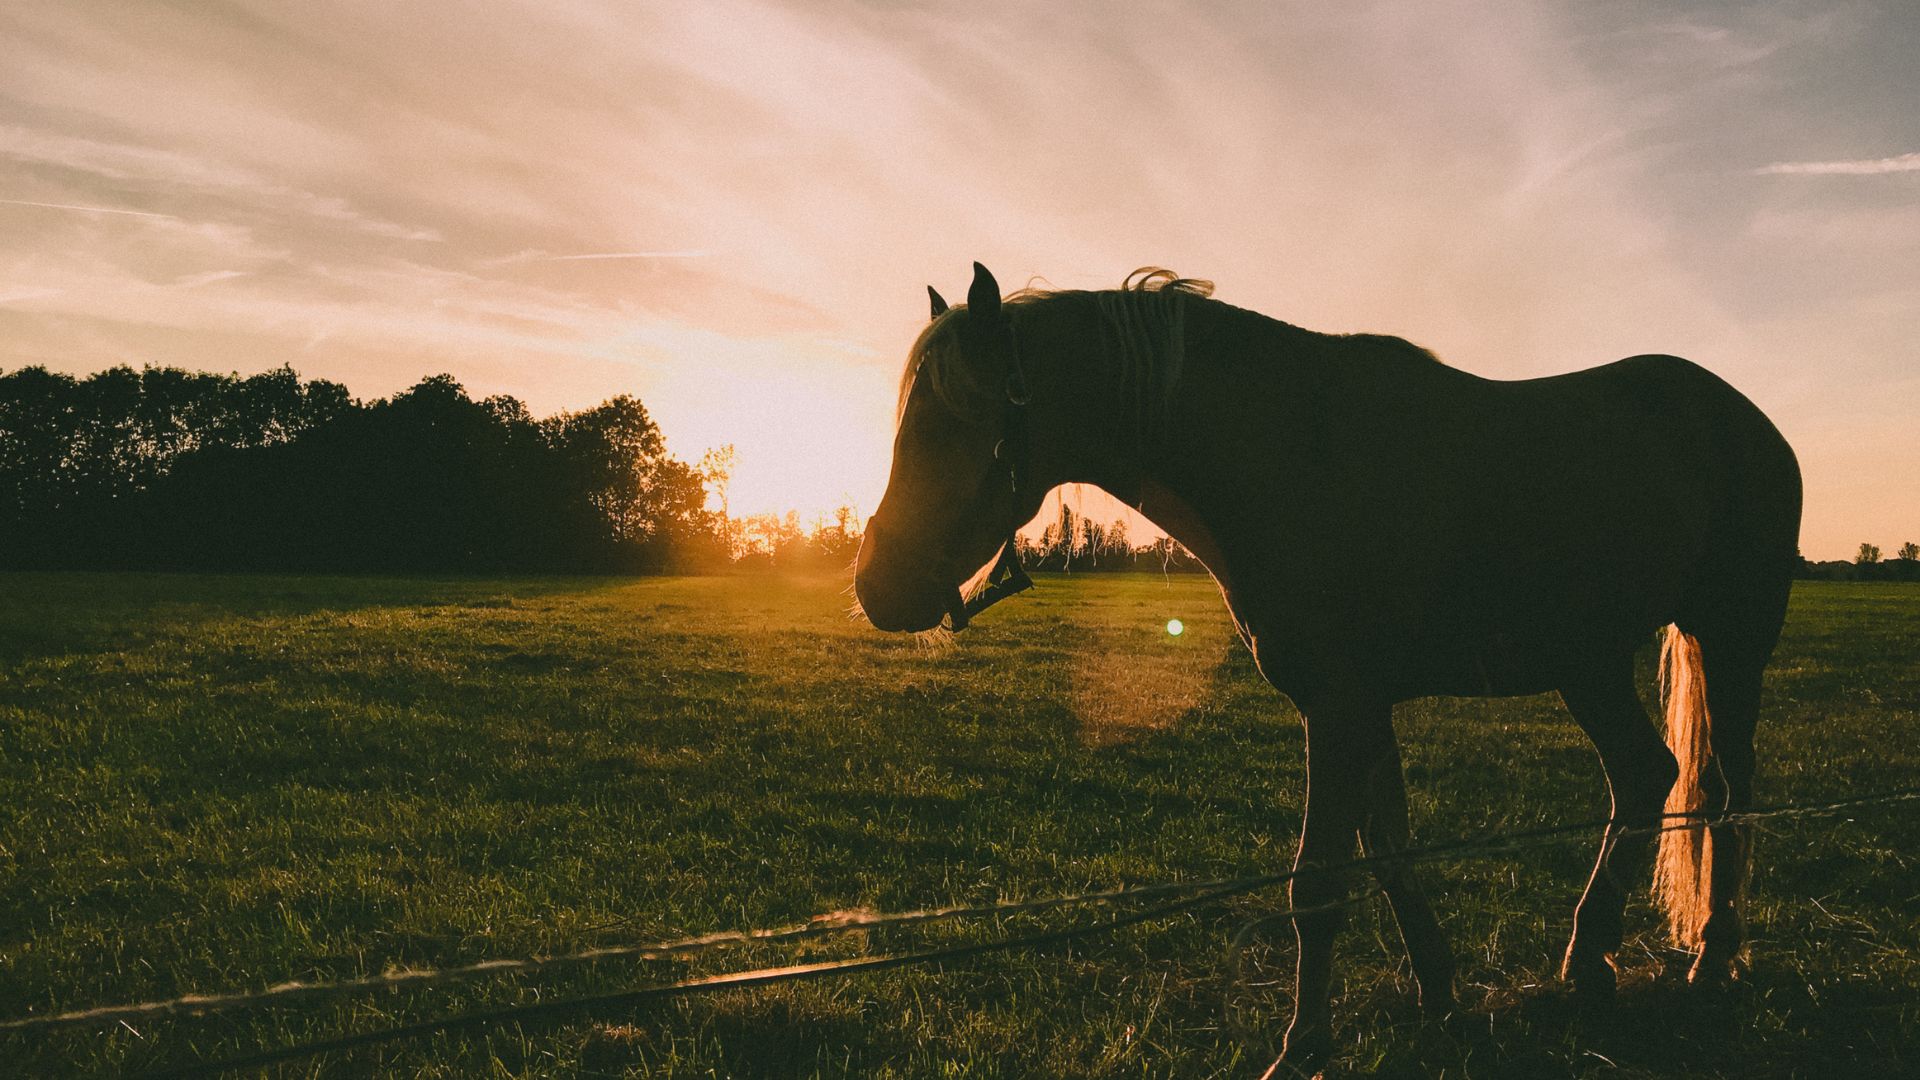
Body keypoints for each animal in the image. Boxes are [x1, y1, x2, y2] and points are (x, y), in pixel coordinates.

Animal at [852, 263, 1797, 1068]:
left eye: (948, 420)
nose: (875, 586)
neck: (1290, 455)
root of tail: (1744, 418)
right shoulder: (1361, 710)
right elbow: (1388, 854)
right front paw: (1441, 994)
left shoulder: (1338, 710)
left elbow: (1318, 885)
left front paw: (1303, 1046)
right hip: (1588, 661)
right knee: (1645, 775)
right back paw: (1590, 961)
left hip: (1729, 640)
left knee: (1723, 790)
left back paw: (1711, 957)